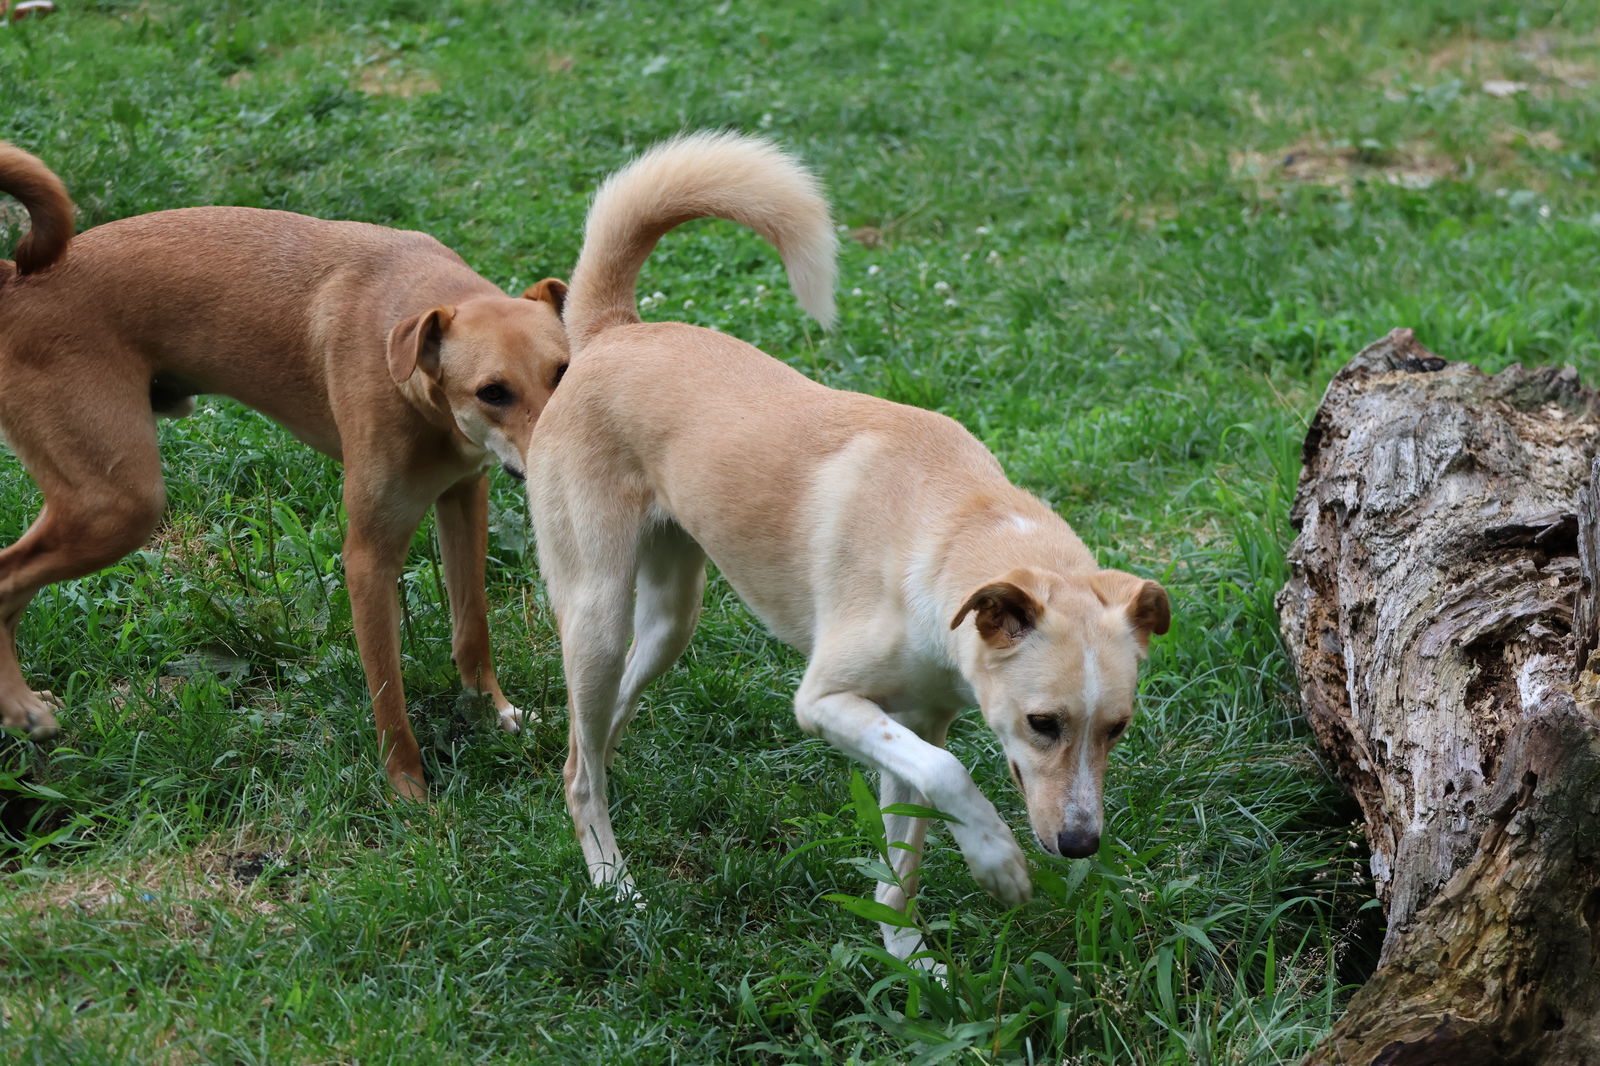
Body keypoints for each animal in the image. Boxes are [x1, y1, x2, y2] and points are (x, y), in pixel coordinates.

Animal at [0, 140, 572, 793]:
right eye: (492, 392)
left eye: (563, 371)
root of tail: (14, 280)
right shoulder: (369, 557)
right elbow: (388, 693)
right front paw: (409, 791)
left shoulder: (464, 500)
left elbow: (471, 628)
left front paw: (492, 713)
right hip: (117, 506)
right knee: (6, 576)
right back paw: (20, 706)